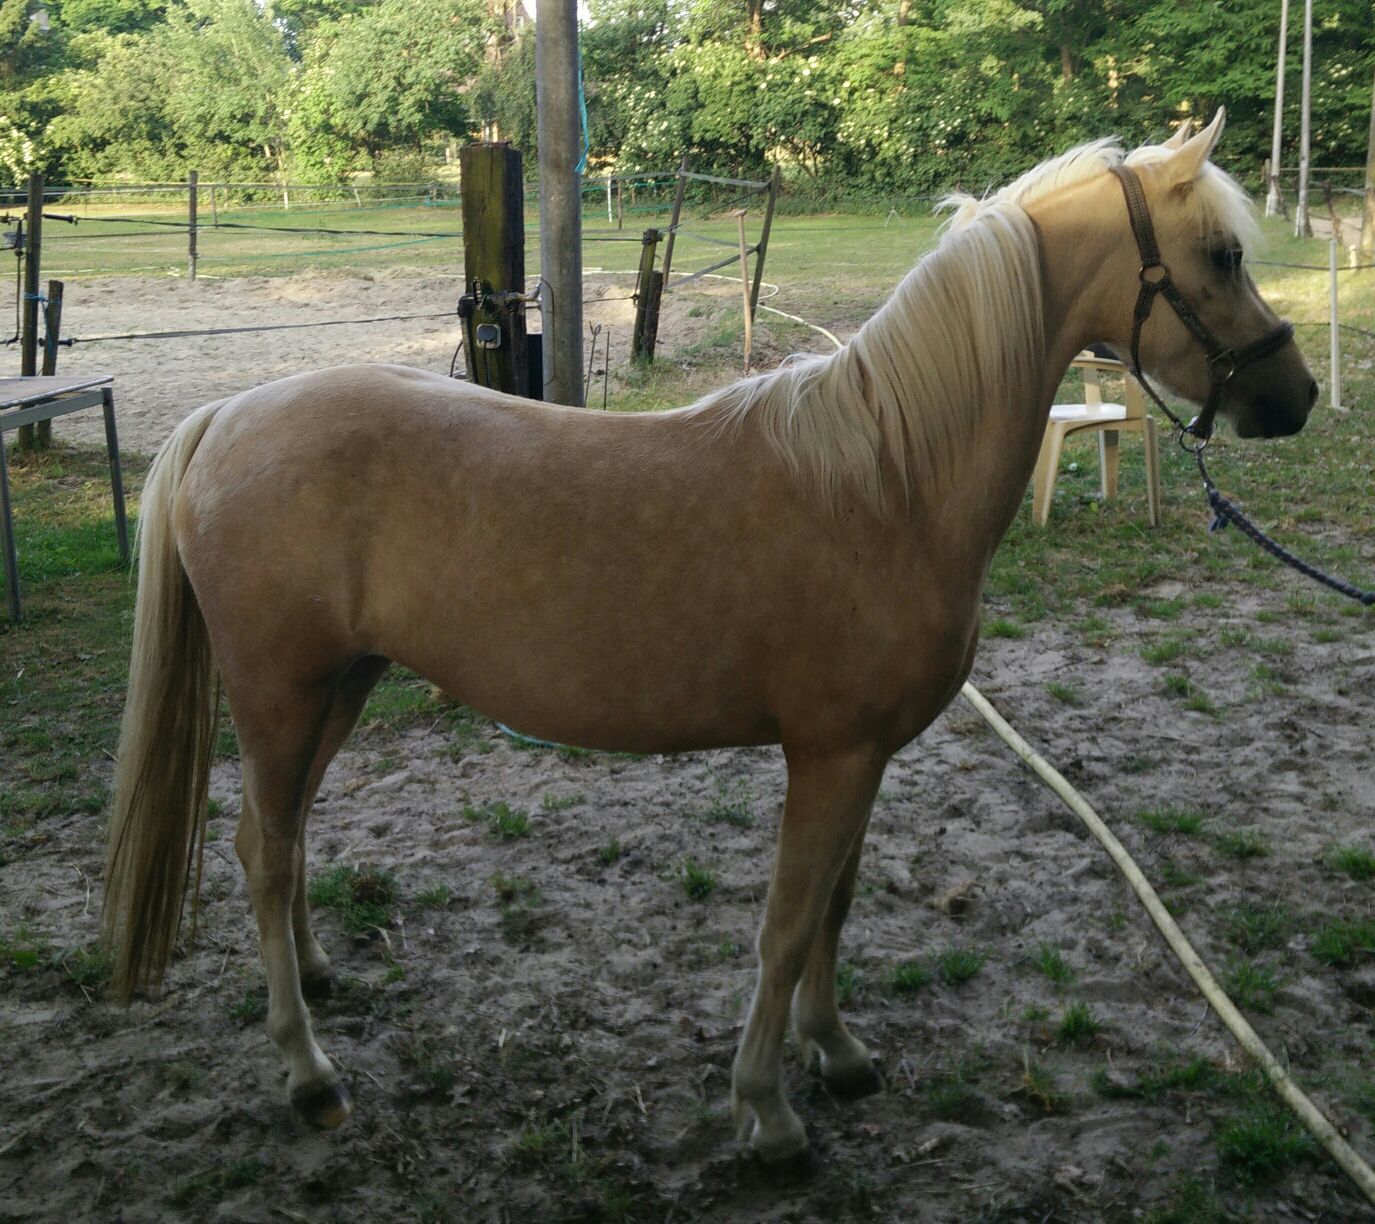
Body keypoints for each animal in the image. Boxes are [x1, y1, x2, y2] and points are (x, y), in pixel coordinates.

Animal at [103, 109, 1315, 1171]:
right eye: (1217, 254)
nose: (1294, 398)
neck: (888, 481)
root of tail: (224, 419)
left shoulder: (862, 757)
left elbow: (833, 911)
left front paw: (837, 1055)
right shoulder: (827, 756)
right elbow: (786, 925)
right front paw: (768, 1113)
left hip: (339, 687)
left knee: (286, 840)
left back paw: (318, 982)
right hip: (280, 693)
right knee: (264, 851)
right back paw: (308, 1072)